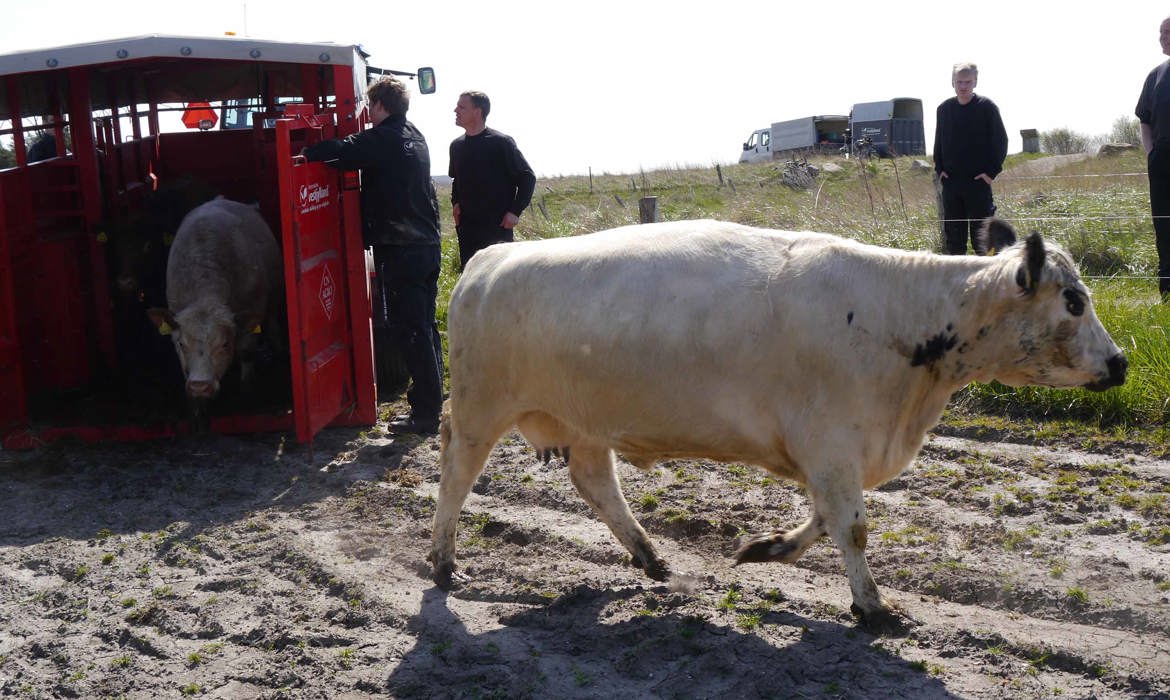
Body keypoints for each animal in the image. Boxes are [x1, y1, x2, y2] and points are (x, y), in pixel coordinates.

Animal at [147, 196, 284, 428]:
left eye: (225, 344)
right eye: (181, 344)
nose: (200, 386)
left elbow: (247, 351)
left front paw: (246, 392)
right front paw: (197, 410)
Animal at [430, 220, 1123, 636]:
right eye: (1073, 300)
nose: (1119, 363)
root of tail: (491, 256)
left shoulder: (830, 451)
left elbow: (824, 518)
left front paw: (767, 548)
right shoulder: (834, 442)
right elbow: (852, 526)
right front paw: (874, 608)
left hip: (586, 419)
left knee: (595, 481)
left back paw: (652, 558)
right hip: (479, 407)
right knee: (457, 476)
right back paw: (441, 562)